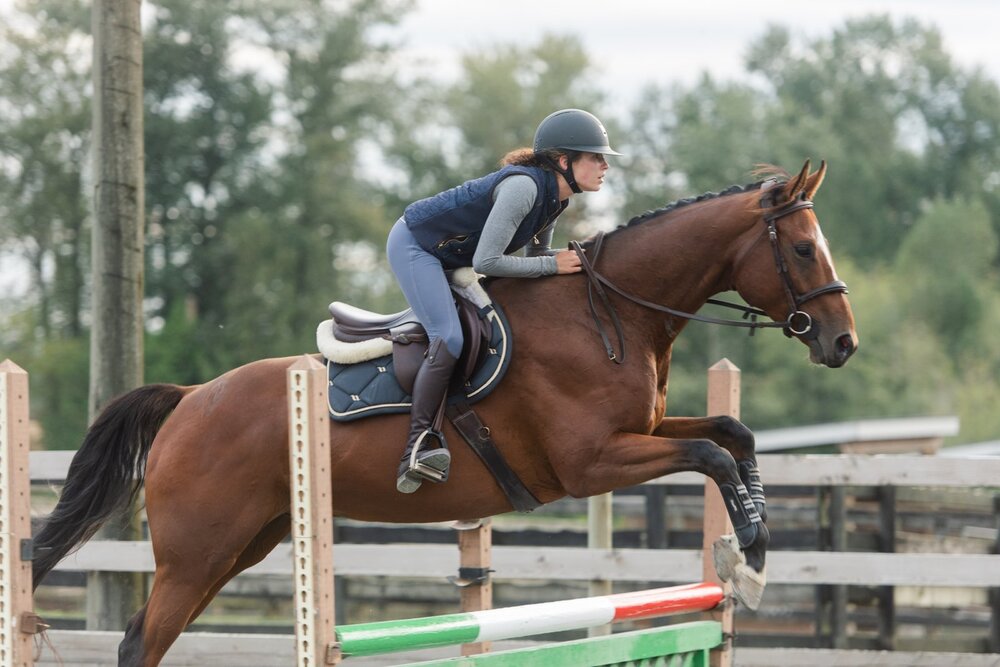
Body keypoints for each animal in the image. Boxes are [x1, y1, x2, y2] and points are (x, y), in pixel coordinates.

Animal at [32, 160, 856, 666]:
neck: (610, 312)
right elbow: (712, 454)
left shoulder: (644, 432)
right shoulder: (593, 462)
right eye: (804, 250)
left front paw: (753, 547)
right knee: (139, 642)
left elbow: (730, 433)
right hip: (199, 550)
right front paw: (749, 551)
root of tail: (187, 400)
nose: (843, 341)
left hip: (241, 542)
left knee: (148, 636)